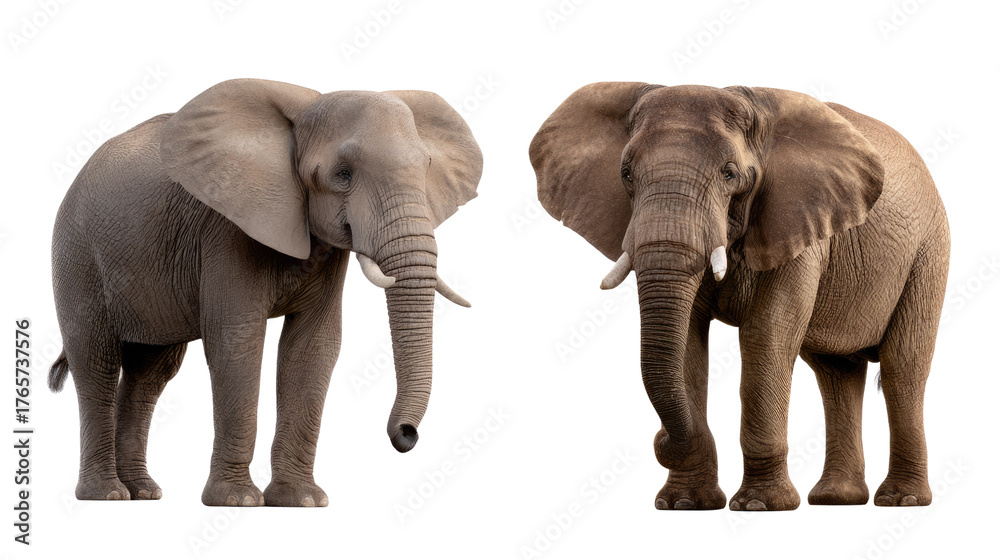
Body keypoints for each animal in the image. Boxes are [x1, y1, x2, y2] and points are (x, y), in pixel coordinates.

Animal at [48, 78, 483, 507]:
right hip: (77, 254)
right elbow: (237, 341)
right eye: (342, 174)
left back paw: (144, 492)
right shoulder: (226, 228)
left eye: (427, 168)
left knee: (151, 373)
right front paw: (237, 501)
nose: (407, 436)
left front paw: (302, 500)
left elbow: (312, 346)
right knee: (97, 362)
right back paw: (106, 494)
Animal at [530, 83, 949, 511]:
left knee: (902, 367)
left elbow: (765, 334)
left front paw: (760, 506)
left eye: (729, 174)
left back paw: (902, 499)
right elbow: (688, 341)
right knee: (836, 374)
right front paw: (685, 504)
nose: (661, 441)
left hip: (929, 254)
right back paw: (836, 498)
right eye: (625, 174)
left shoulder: (797, 223)